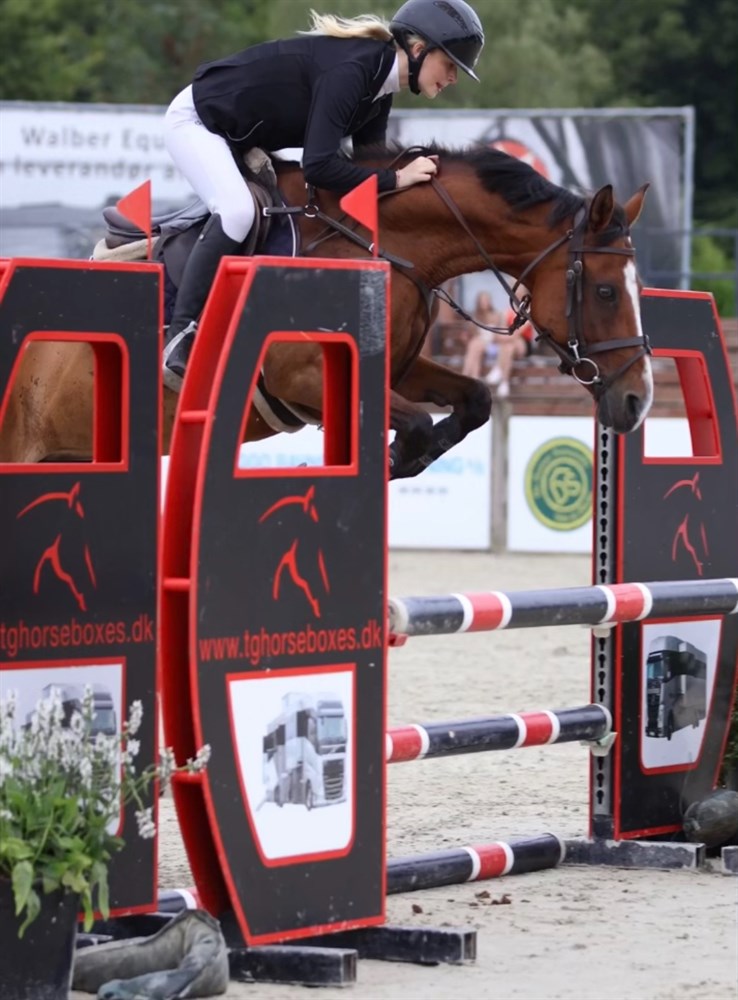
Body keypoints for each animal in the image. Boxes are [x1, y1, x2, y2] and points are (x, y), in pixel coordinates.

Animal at [0, 143, 653, 477]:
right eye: (605, 292)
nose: (638, 402)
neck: (380, 241)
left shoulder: (400, 368)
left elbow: (473, 401)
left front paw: (399, 462)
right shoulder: (305, 376)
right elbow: (417, 422)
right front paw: (390, 458)